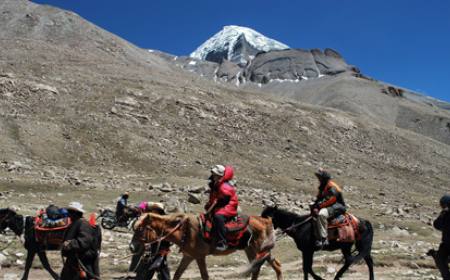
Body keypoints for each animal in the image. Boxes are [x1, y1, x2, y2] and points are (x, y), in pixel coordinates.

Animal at [130, 212, 284, 280]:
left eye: (140, 229)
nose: (132, 247)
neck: (184, 231)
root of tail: (265, 221)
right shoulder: (188, 257)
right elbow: (177, 274)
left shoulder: (199, 257)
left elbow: (205, 276)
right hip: (254, 250)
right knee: (269, 266)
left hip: (258, 250)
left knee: (264, 267)